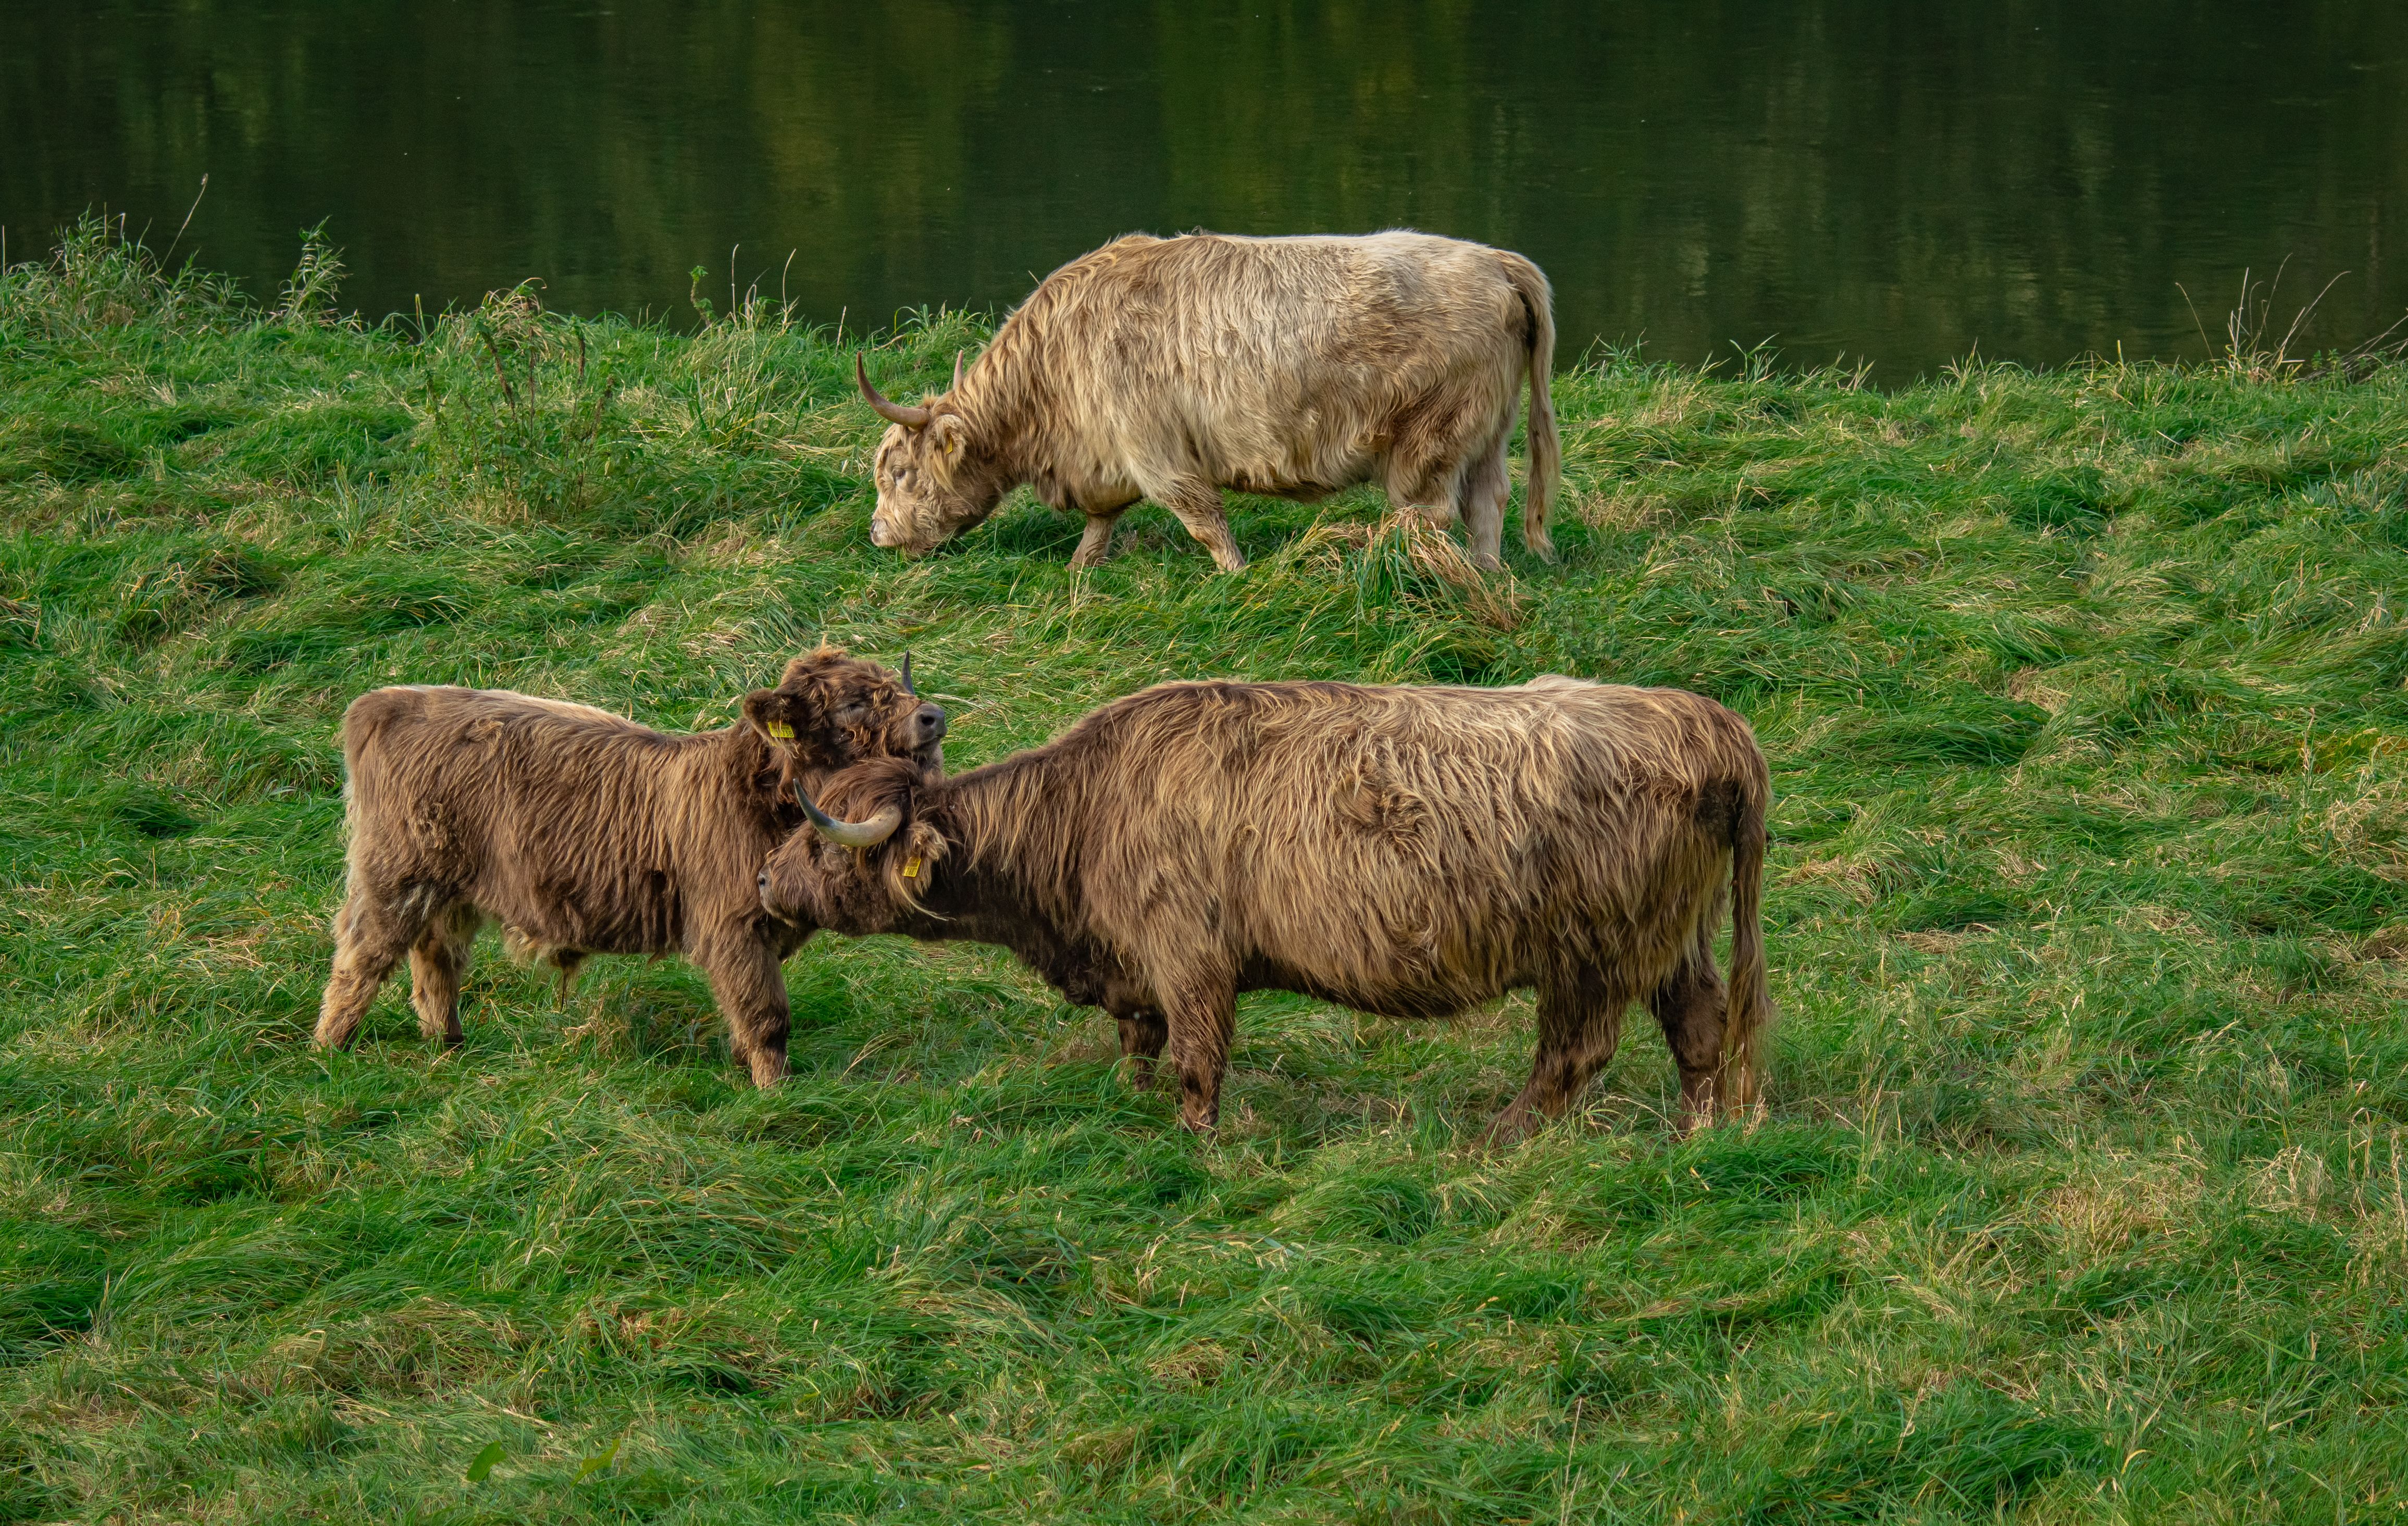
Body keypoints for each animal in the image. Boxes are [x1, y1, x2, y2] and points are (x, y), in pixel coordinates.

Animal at [313, 648, 945, 1085]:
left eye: (893, 685)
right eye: (853, 702)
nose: (933, 717)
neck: (767, 796)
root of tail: (383, 701)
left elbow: (747, 1012)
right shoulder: (733, 928)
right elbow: (767, 1015)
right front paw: (775, 1091)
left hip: (452, 889)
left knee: (435, 960)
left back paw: (447, 1044)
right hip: (395, 875)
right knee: (361, 956)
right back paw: (329, 1052)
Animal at [756, 676, 1771, 1141]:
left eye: (824, 839)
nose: (763, 880)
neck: (1082, 814)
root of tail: (1706, 721)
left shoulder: (1190, 957)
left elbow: (1196, 1059)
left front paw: (1193, 1143)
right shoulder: (1137, 968)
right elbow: (1140, 1043)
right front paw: (1128, 1101)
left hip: (1592, 948)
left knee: (1572, 1052)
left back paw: (1494, 1137)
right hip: (1675, 935)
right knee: (1698, 1027)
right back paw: (1696, 1135)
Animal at [854, 230, 1562, 574]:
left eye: (901, 472)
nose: (878, 533)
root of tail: (1496, 261)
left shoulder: (1155, 449)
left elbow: (1201, 518)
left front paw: (1236, 575)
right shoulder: (1108, 458)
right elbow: (1102, 520)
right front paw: (1081, 569)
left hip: (1431, 436)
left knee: (1429, 511)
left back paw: (1379, 556)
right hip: (1487, 428)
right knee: (1487, 501)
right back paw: (1488, 573)